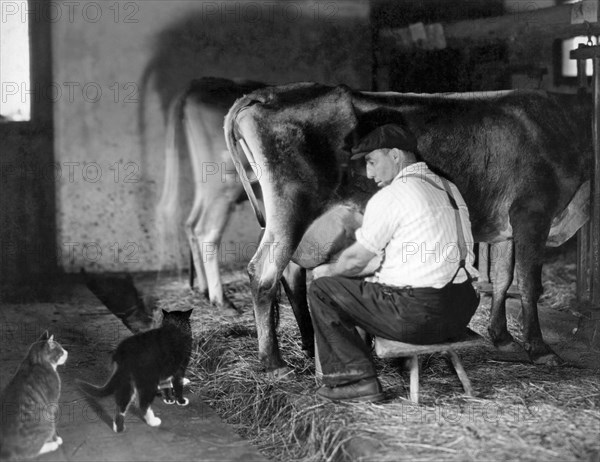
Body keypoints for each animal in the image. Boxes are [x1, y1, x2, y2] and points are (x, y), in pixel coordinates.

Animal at [76, 306, 191, 434]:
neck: (174, 327)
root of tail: (124, 354)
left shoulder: (167, 369)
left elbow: (166, 385)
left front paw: (168, 399)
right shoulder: (180, 368)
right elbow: (178, 385)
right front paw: (181, 401)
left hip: (126, 380)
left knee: (121, 405)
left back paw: (119, 428)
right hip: (148, 381)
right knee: (143, 404)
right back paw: (153, 422)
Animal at [155, 77, 314, 354]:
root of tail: (197, 85)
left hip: (208, 184)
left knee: (190, 224)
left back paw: (204, 289)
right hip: (223, 181)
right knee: (205, 231)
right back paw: (221, 300)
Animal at [224, 83, 592, 378]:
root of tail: (265, 93)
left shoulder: (508, 224)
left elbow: (503, 279)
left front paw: (502, 338)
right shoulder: (533, 211)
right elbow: (530, 285)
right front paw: (540, 350)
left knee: (291, 276)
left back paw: (308, 345)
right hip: (292, 208)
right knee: (264, 273)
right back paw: (273, 363)